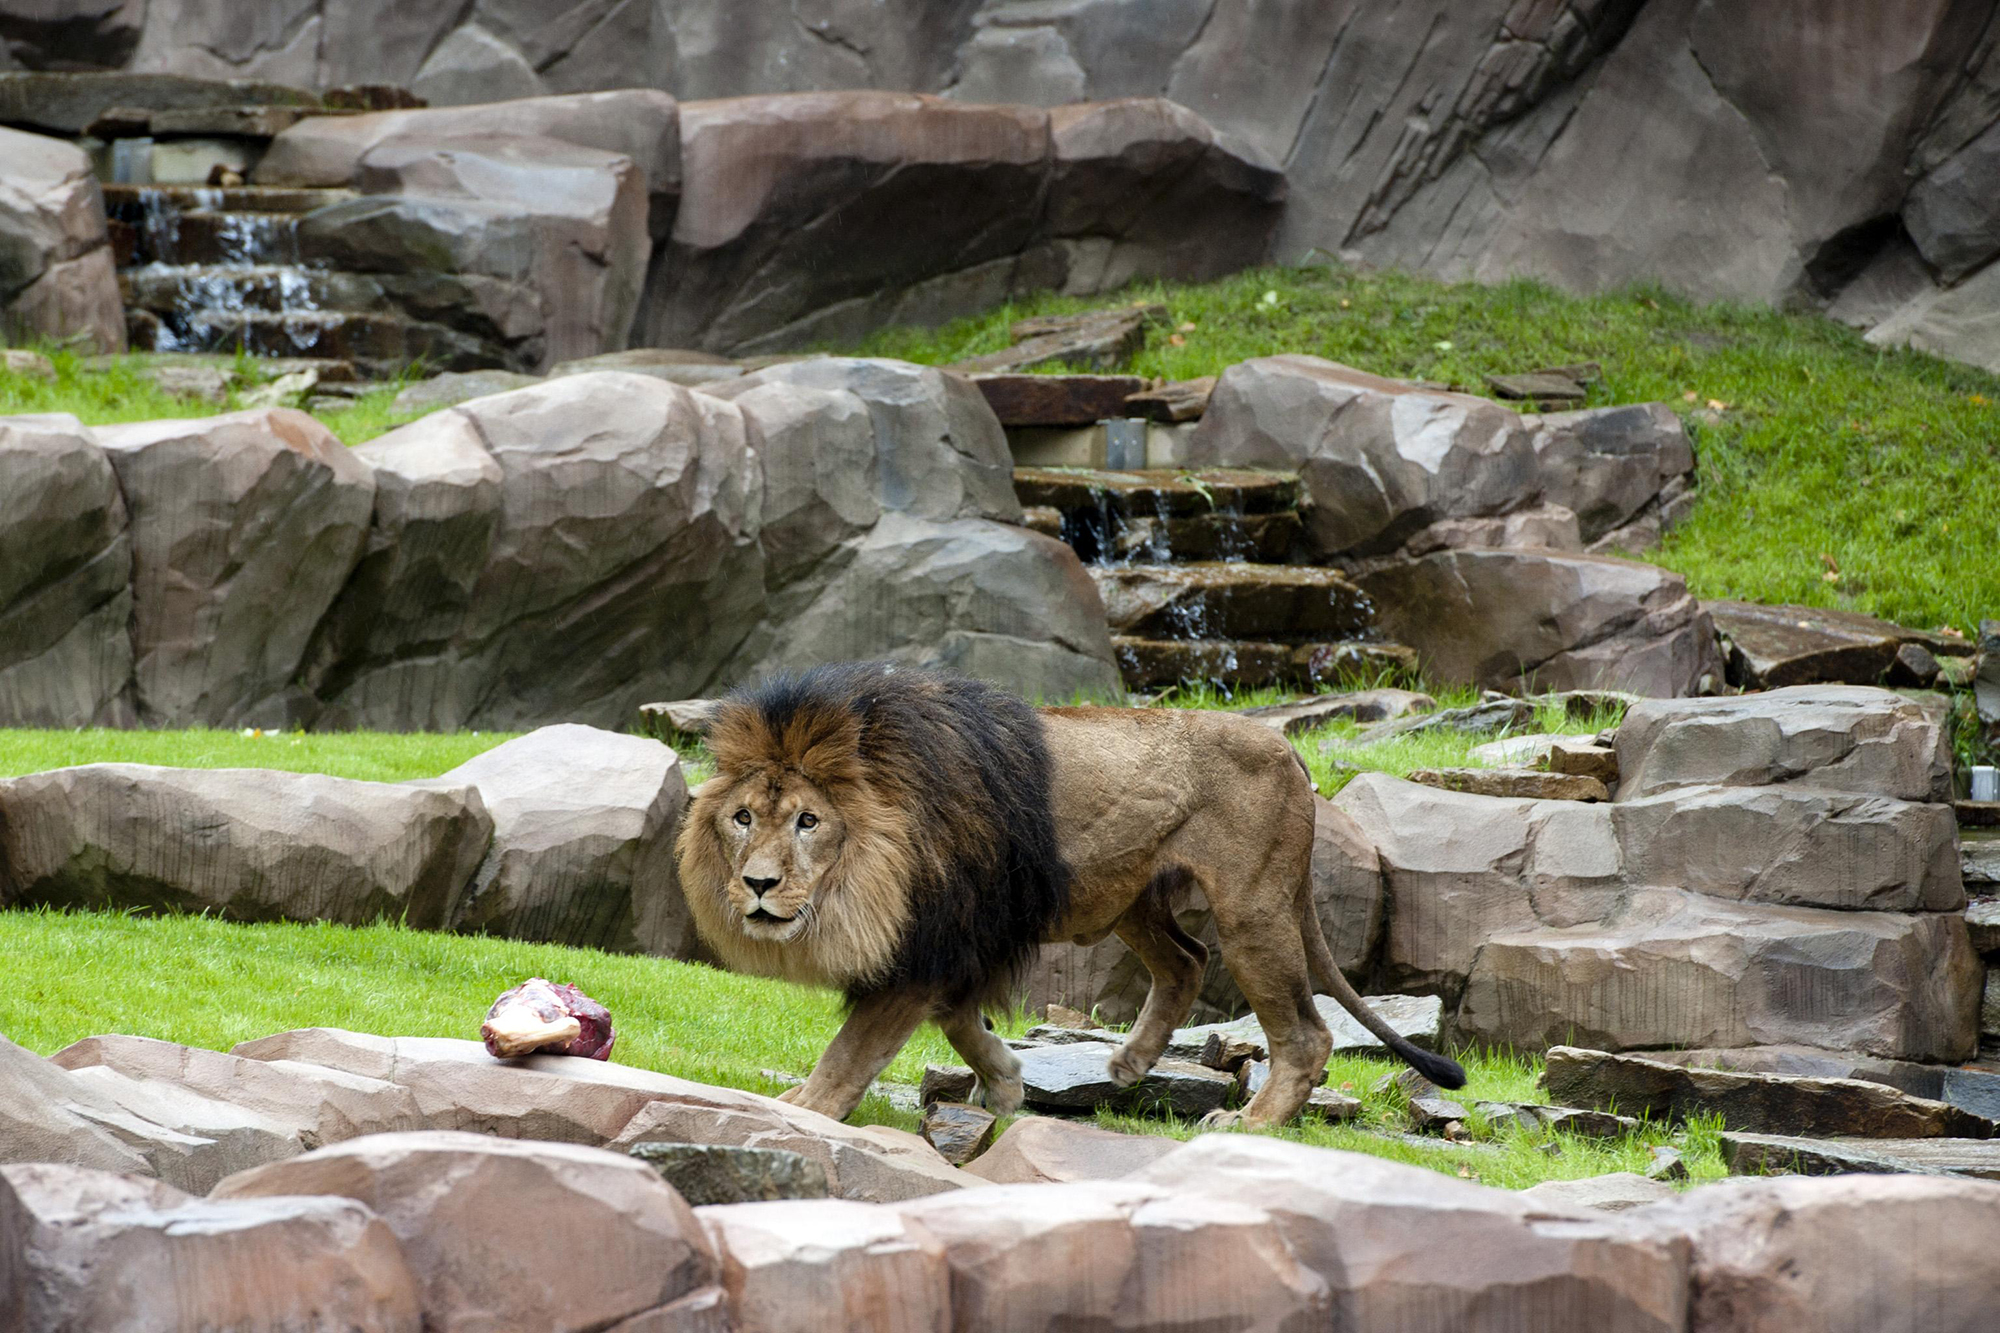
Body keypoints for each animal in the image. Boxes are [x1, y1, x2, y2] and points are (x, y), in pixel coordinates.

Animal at [680, 660, 1464, 1128]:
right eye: (742, 817)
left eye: (809, 822)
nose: (757, 884)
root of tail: (1288, 749)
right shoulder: (966, 942)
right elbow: (959, 1023)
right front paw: (1004, 1084)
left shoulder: (929, 943)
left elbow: (853, 1048)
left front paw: (804, 1106)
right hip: (1133, 896)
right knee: (1185, 960)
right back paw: (1129, 1064)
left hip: (1253, 907)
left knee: (1306, 1032)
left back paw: (1252, 1123)